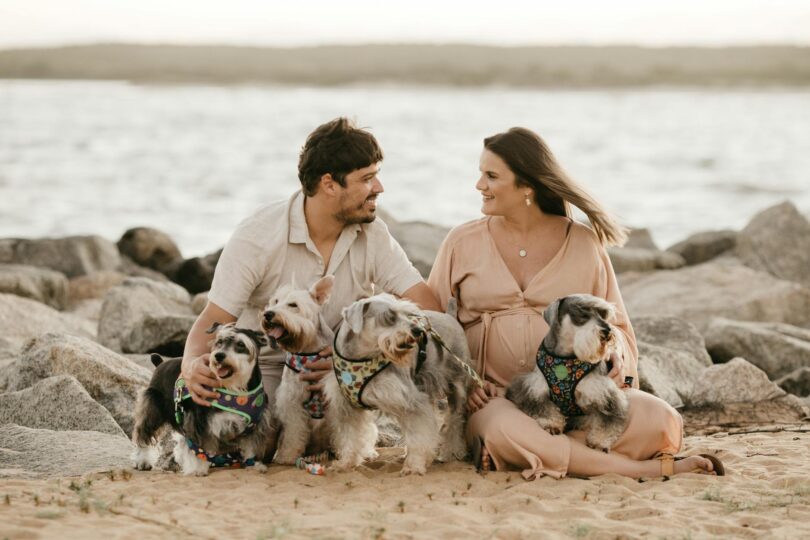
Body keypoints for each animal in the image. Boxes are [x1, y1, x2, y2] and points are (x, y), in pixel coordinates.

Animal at [258, 276, 334, 466]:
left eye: (293, 305)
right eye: (275, 301)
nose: (268, 314)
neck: (308, 349)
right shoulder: (292, 401)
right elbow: (293, 431)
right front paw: (287, 455)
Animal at [326, 294, 470, 474]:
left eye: (409, 314)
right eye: (389, 316)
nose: (418, 331)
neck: (362, 358)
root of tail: (450, 315)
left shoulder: (410, 399)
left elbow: (419, 435)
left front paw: (414, 466)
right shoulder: (347, 407)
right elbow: (350, 437)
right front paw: (346, 463)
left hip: (456, 385)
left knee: (455, 421)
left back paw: (451, 452)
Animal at [504, 296, 632, 452]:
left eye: (603, 314)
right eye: (582, 313)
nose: (607, 331)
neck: (566, 358)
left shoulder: (605, 394)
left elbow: (608, 421)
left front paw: (599, 441)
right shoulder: (534, 389)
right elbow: (544, 408)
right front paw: (552, 424)